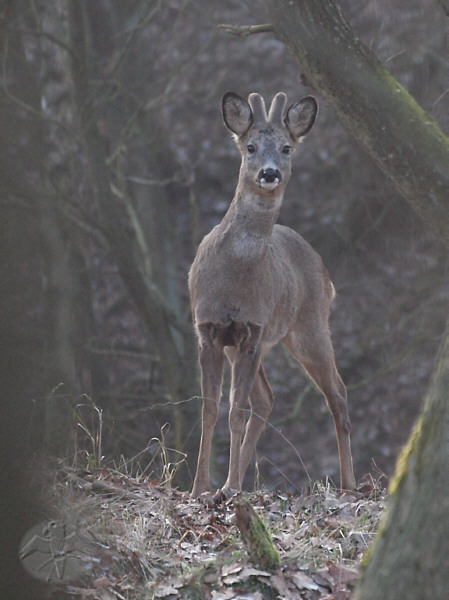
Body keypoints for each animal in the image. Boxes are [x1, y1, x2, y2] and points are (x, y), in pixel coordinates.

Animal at [188, 92, 354, 496]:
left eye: (286, 148)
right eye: (249, 146)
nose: (269, 173)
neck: (233, 278)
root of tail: (325, 272)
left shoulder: (251, 330)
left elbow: (234, 411)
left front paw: (227, 487)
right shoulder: (209, 330)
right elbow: (209, 409)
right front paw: (200, 488)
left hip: (309, 326)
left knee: (337, 393)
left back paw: (349, 484)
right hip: (258, 343)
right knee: (267, 399)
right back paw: (232, 481)